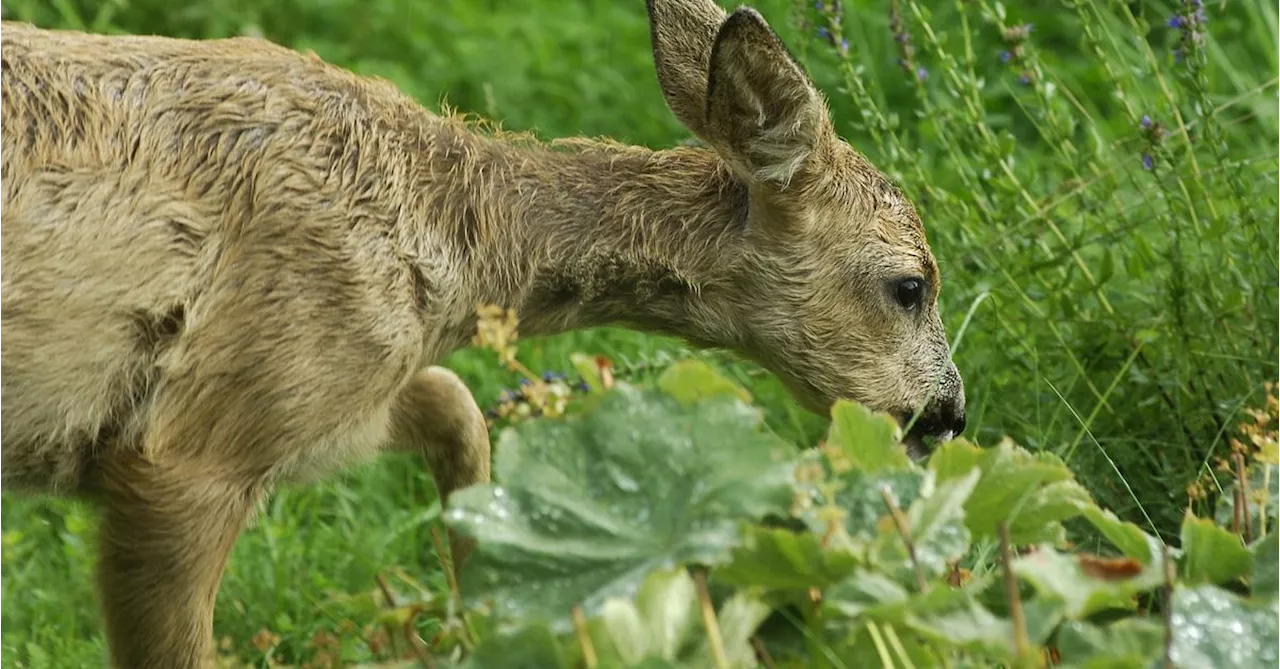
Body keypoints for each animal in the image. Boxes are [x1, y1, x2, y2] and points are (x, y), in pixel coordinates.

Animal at [0, 2, 962, 665]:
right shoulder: (195, 443)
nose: (947, 417)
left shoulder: (336, 401)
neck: (443, 240)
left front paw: (485, 609)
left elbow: (458, 408)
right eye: (911, 284)